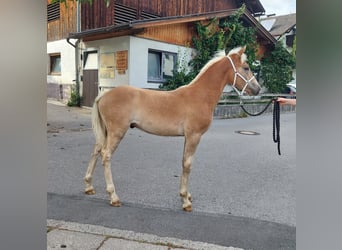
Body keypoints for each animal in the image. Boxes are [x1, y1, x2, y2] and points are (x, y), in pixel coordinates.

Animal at [83, 45, 260, 211]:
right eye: (246, 67)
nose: (257, 89)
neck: (200, 95)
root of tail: (103, 95)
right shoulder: (194, 136)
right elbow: (188, 164)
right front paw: (186, 201)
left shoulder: (188, 137)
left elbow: (183, 162)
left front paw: (186, 195)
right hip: (116, 132)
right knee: (106, 155)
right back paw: (113, 196)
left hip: (106, 132)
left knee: (96, 150)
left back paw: (89, 186)